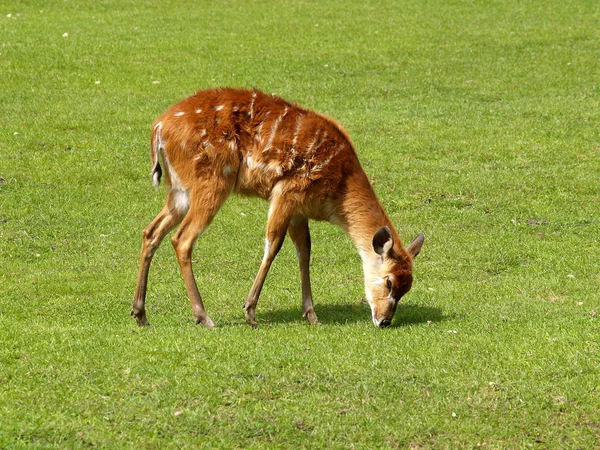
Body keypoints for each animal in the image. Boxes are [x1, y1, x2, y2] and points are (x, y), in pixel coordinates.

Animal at [132, 88, 422, 328]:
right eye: (389, 281)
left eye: (407, 287)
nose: (384, 321)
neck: (338, 188)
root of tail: (159, 127)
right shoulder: (286, 191)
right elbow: (273, 245)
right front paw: (250, 312)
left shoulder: (299, 210)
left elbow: (304, 250)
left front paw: (312, 315)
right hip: (212, 181)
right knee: (182, 239)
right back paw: (204, 316)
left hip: (179, 190)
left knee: (151, 232)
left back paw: (140, 313)